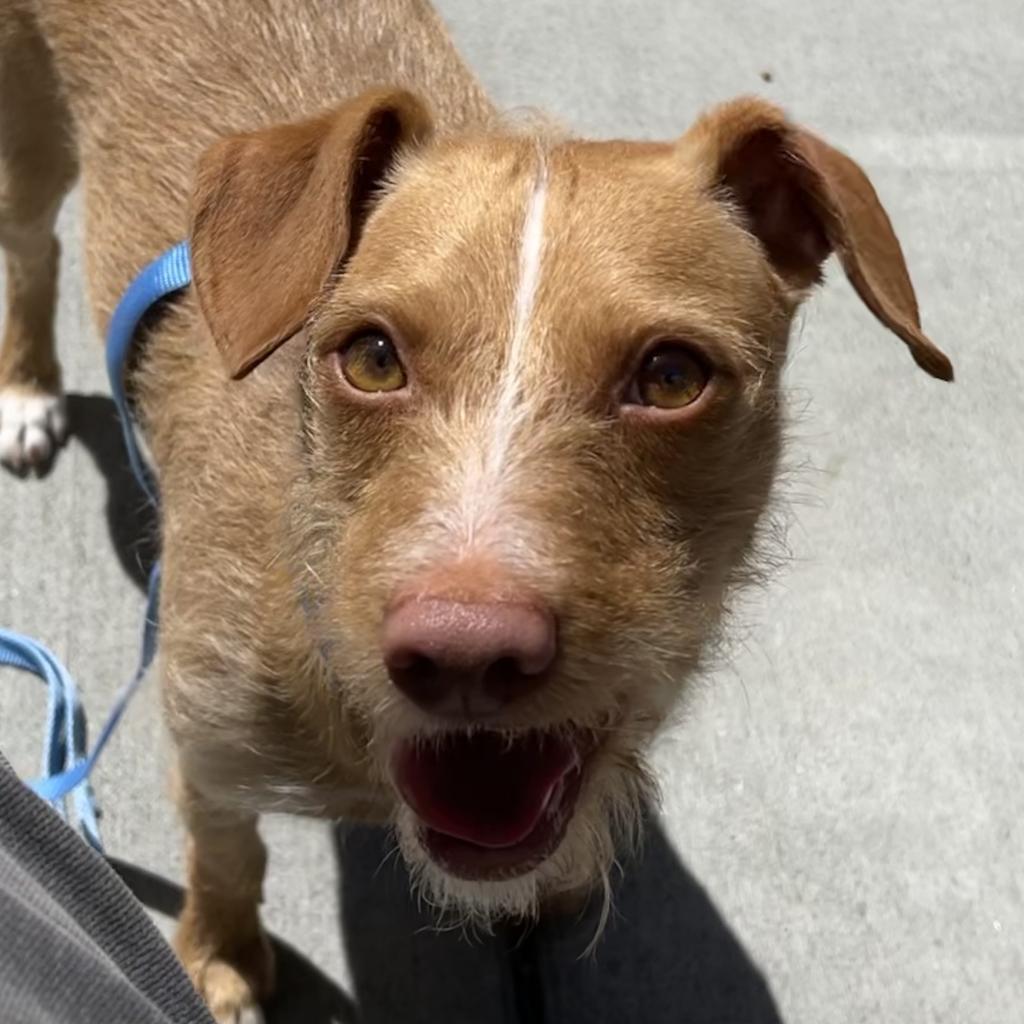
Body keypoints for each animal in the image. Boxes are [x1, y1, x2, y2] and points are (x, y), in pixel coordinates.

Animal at [0, 0, 950, 1019]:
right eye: (372, 357)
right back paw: (26, 392)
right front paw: (217, 961)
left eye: (671, 376)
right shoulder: (208, 753)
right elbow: (226, 858)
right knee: (31, 247)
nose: (464, 654)